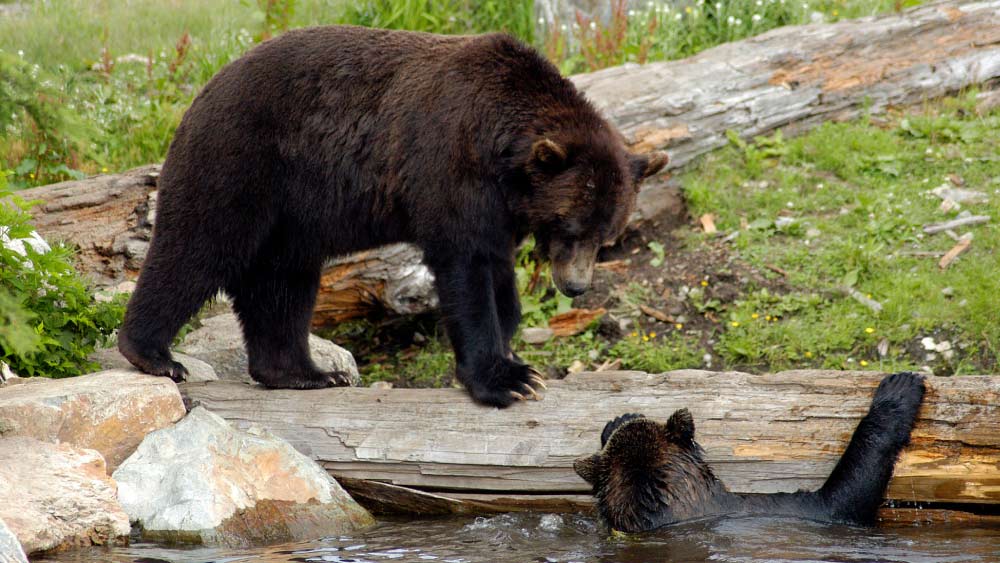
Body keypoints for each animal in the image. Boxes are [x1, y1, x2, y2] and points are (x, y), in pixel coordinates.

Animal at [113, 26, 668, 408]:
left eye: (607, 236)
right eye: (569, 227)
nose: (575, 286)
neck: (501, 154)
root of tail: (200, 93)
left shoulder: (500, 208)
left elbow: (499, 274)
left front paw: (513, 355)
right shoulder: (451, 169)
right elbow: (467, 270)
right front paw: (506, 380)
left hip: (292, 213)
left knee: (283, 283)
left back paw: (305, 372)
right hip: (241, 161)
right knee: (200, 246)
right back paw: (153, 354)